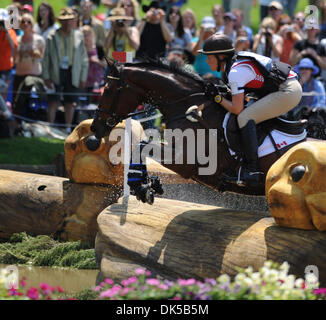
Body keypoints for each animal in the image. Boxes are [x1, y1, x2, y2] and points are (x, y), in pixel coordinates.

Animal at [90, 57, 306, 198]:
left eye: (108, 89)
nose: (95, 128)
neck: (185, 105)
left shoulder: (187, 161)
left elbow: (142, 146)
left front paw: (141, 187)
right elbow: (141, 146)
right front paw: (149, 185)